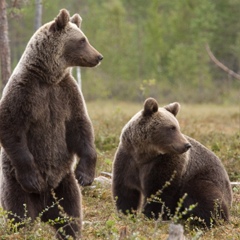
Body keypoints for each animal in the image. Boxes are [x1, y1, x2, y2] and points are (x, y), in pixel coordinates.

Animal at [0, 8, 102, 239]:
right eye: (82, 40)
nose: (99, 56)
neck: (48, 77)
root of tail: (44, 209)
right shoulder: (24, 92)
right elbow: (12, 127)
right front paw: (33, 178)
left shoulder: (66, 94)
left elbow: (80, 127)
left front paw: (85, 175)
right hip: (14, 184)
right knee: (20, 215)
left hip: (64, 184)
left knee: (71, 215)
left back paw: (69, 230)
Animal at [112, 97, 232, 227]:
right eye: (171, 127)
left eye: (177, 127)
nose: (186, 145)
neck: (144, 154)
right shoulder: (128, 159)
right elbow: (125, 191)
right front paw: (126, 214)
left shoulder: (165, 164)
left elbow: (159, 191)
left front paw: (151, 216)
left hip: (203, 178)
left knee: (204, 197)